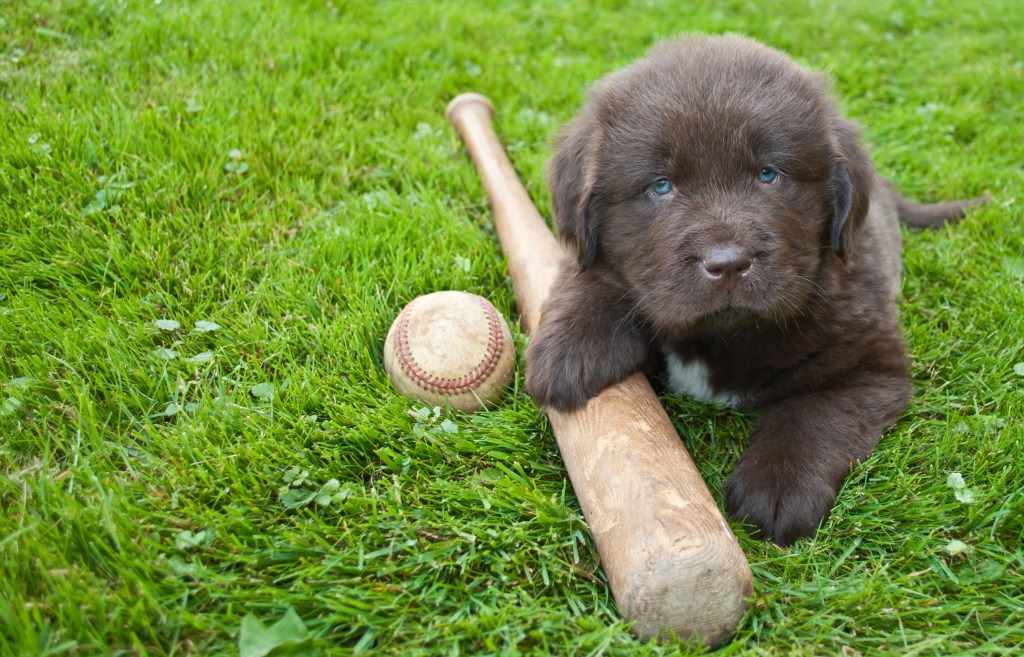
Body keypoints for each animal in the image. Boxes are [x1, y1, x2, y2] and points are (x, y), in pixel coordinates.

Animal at [528, 37, 983, 548]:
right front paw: (568, 353)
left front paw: (777, 486)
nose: (727, 264)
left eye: (769, 174)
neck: (720, 337)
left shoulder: (868, 360)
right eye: (660, 186)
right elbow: (588, 278)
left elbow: (813, 412)